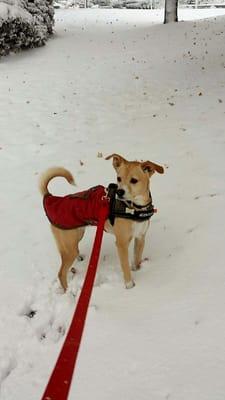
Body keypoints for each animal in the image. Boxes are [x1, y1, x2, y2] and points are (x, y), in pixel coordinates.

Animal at [38, 154, 163, 290]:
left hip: (76, 235)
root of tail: (50, 198)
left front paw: (138, 270)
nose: (119, 192)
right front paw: (129, 285)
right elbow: (125, 266)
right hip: (69, 244)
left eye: (134, 180)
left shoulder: (140, 238)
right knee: (61, 273)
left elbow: (137, 259)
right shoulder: (122, 244)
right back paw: (67, 291)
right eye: (119, 178)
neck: (134, 208)